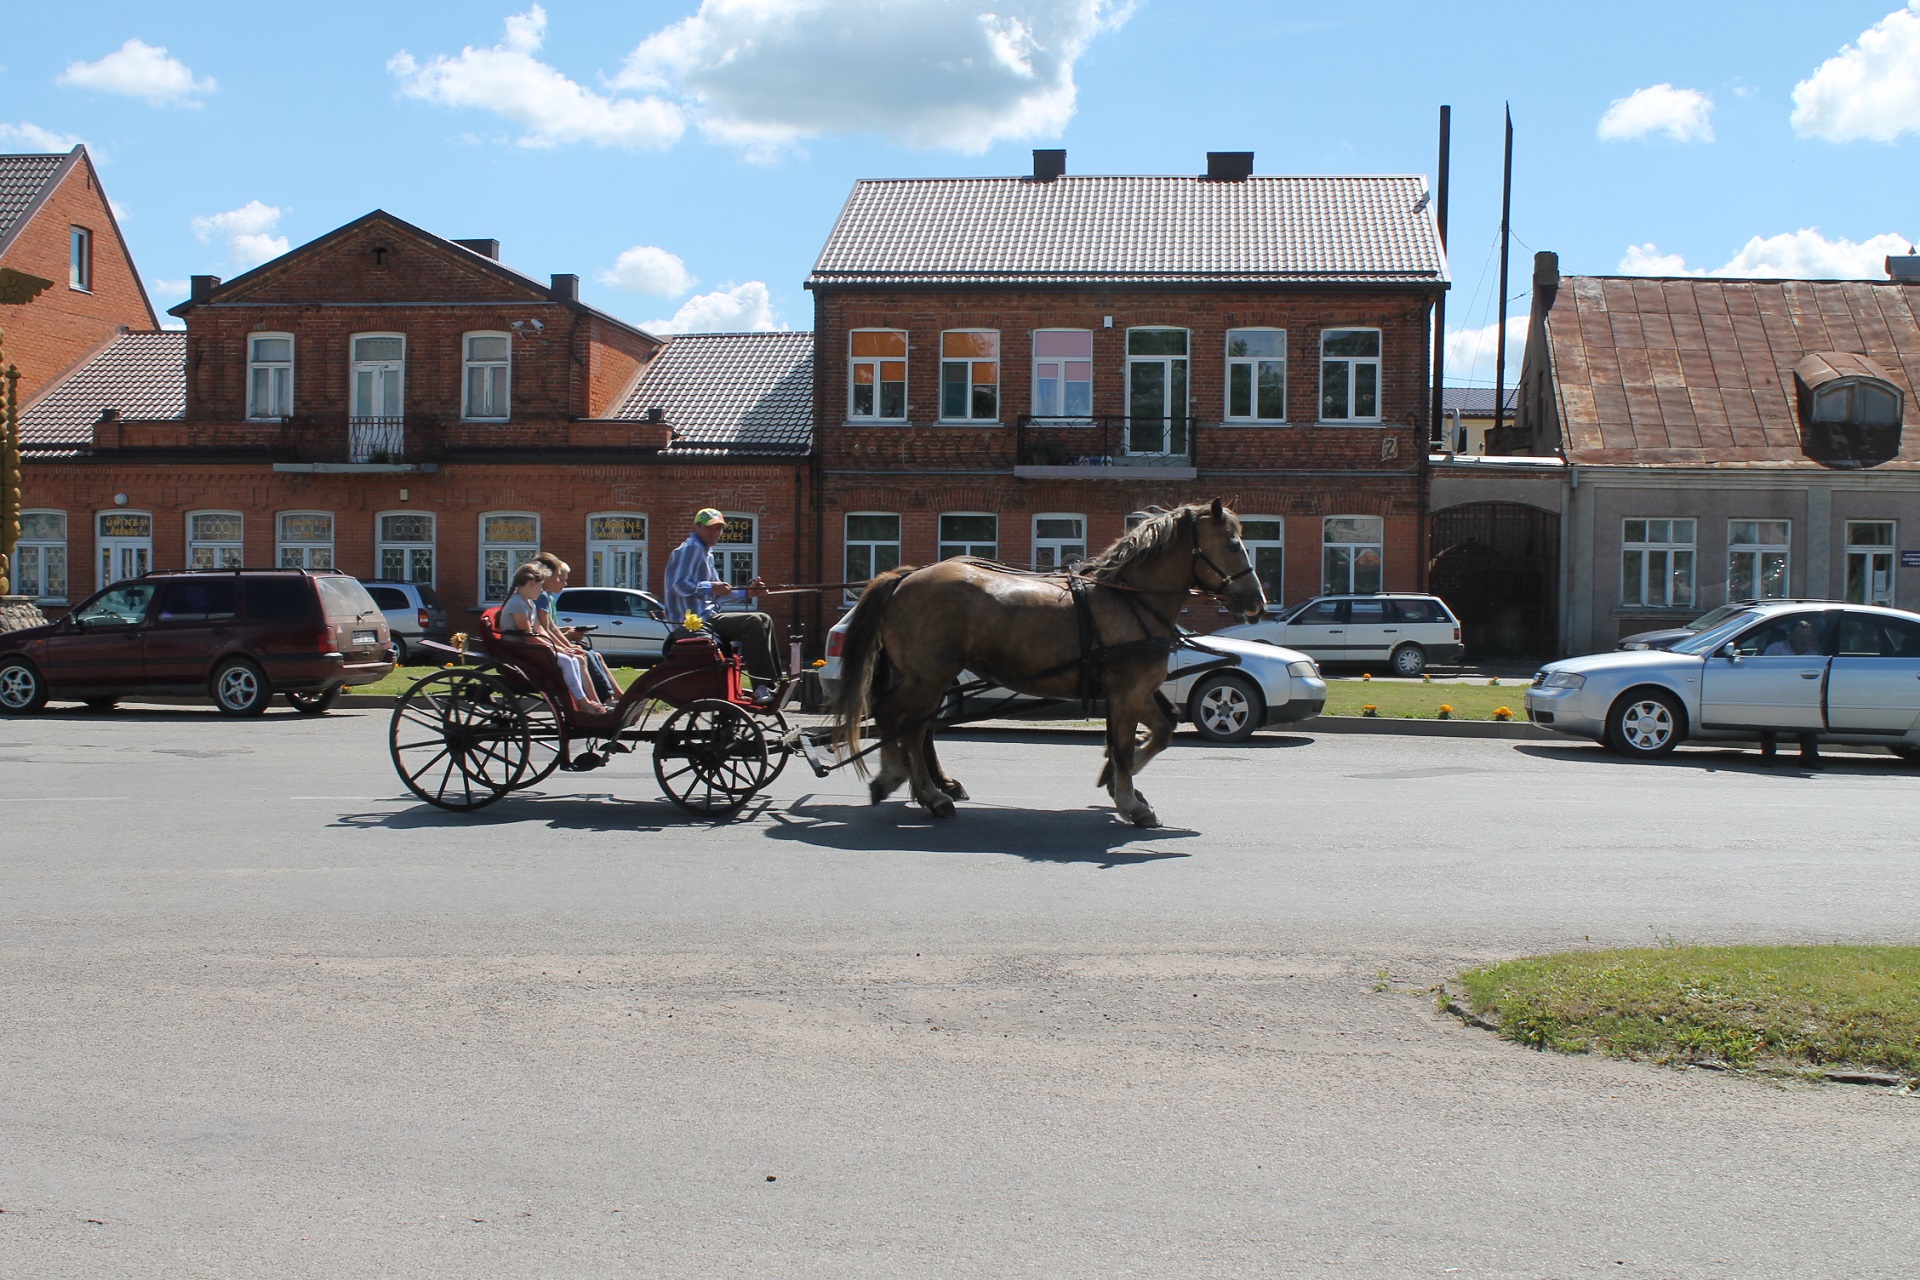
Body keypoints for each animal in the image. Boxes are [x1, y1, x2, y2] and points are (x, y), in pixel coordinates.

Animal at [829, 495, 1267, 825]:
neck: (1129, 598)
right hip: (927, 677)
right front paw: (1129, 801)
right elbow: (1125, 746)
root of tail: (905, 577)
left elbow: (1160, 732)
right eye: (1233, 544)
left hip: (929, 680)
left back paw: (932, 793)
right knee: (896, 719)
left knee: (915, 730)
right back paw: (899, 779)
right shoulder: (1126, 690)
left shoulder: (1138, 691)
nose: (1257, 602)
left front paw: (1115, 783)